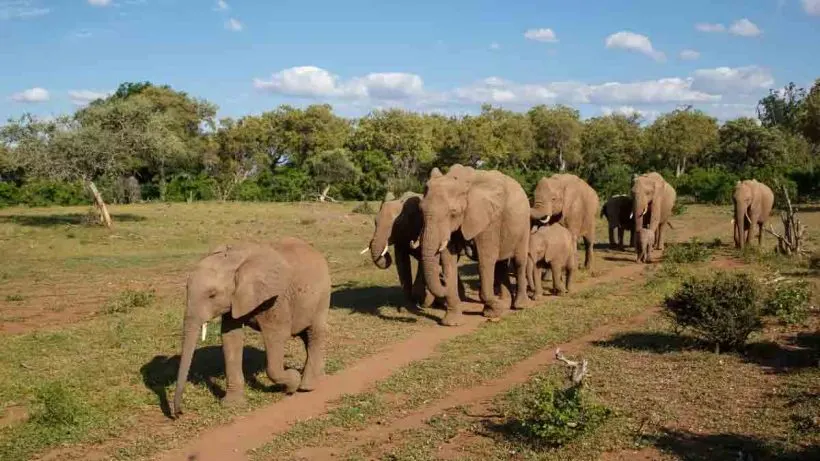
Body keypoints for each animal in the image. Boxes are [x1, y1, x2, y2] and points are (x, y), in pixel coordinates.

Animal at [173, 238, 330, 418]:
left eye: (212, 295)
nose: (179, 414)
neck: (235, 261)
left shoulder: (275, 298)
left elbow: (276, 337)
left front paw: (292, 383)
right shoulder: (234, 300)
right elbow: (230, 337)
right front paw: (232, 405)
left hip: (323, 296)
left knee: (314, 334)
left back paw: (306, 386)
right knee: (306, 337)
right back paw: (318, 377)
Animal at [419, 164, 531, 326]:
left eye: (453, 212)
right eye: (420, 210)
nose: (441, 279)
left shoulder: (488, 219)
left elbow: (486, 260)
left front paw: (494, 311)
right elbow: (448, 261)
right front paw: (452, 323)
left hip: (524, 223)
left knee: (519, 261)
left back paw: (520, 305)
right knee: (501, 263)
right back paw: (505, 303)